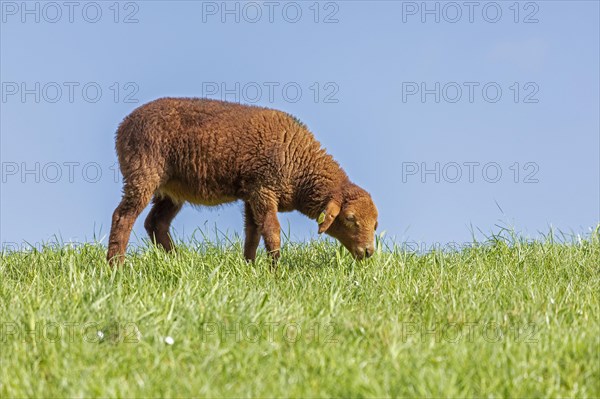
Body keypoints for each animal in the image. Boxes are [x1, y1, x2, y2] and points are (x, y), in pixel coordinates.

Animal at [107, 97, 378, 266]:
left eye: (375, 225)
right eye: (350, 219)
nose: (368, 252)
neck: (299, 165)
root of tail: (122, 127)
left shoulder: (251, 194)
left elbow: (253, 234)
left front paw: (250, 266)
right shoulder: (263, 188)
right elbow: (272, 232)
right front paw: (274, 269)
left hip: (171, 189)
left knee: (156, 223)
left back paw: (178, 261)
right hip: (143, 175)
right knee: (123, 217)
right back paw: (116, 266)